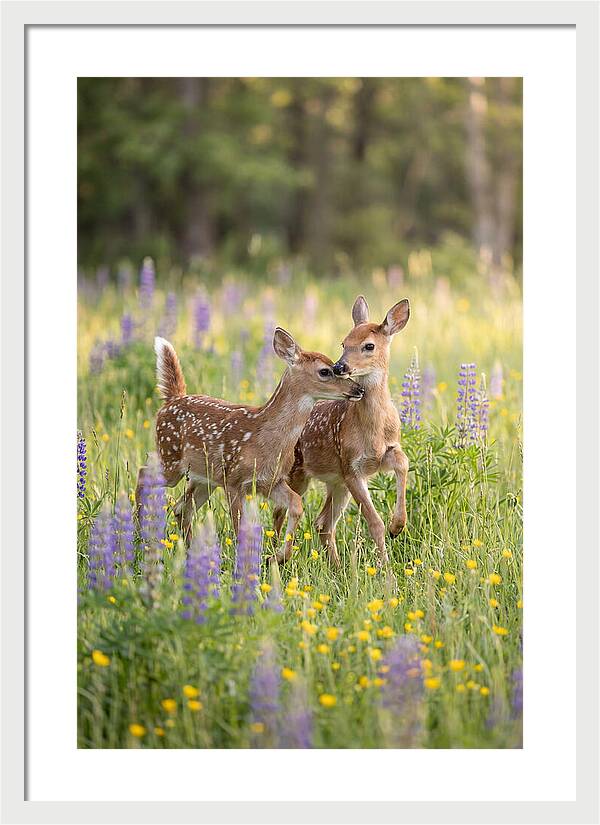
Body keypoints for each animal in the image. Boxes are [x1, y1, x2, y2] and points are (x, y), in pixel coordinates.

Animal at [136, 330, 364, 558]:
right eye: (325, 371)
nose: (359, 389)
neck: (264, 438)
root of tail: (172, 400)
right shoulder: (234, 481)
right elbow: (240, 528)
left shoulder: (271, 481)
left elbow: (296, 505)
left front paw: (278, 557)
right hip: (171, 458)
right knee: (144, 473)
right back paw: (139, 533)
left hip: (205, 478)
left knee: (182, 508)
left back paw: (190, 552)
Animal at [273, 296, 410, 568]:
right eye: (344, 343)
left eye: (369, 346)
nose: (339, 366)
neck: (374, 430)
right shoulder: (351, 467)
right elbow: (374, 523)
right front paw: (386, 568)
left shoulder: (384, 453)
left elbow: (403, 463)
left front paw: (398, 526)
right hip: (298, 474)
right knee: (280, 512)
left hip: (335, 483)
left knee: (323, 523)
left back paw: (336, 567)